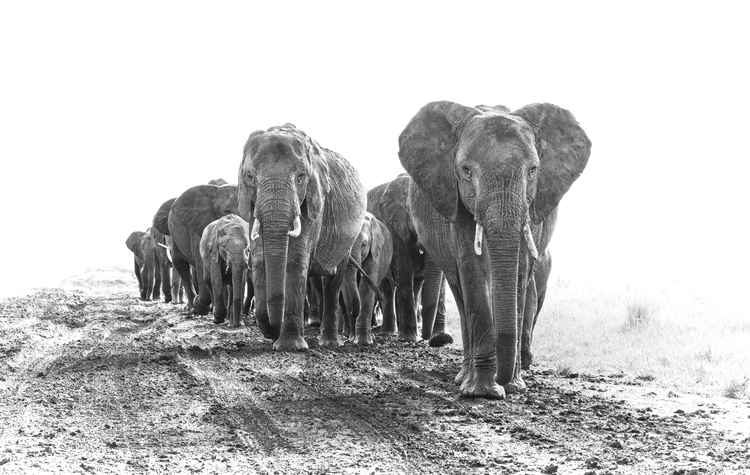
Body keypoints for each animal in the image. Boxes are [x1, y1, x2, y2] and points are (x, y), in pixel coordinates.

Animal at [167, 184, 239, 313]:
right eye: (227, 211)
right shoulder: (198, 228)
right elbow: (201, 262)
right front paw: (199, 306)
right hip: (174, 236)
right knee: (180, 263)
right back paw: (191, 307)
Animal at [238, 123, 366, 351]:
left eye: (301, 177)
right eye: (251, 176)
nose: (272, 333)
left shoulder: (314, 202)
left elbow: (295, 261)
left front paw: (291, 347)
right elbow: (260, 258)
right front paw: (273, 336)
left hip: (348, 241)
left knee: (332, 282)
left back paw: (330, 342)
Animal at [339, 212, 394, 345]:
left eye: (363, 244)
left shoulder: (375, 252)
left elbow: (366, 287)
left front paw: (364, 342)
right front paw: (354, 339)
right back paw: (347, 334)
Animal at [367, 176, 451, 346]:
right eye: (416, 218)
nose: (429, 339)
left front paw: (442, 338)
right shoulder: (395, 227)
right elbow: (404, 270)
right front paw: (409, 338)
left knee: (416, 285)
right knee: (388, 287)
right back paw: (389, 332)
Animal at [398, 101, 590, 398]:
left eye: (533, 170)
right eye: (466, 171)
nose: (503, 379)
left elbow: (521, 271)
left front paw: (514, 386)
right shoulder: (458, 201)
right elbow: (472, 268)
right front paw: (483, 392)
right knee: (459, 290)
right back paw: (464, 378)